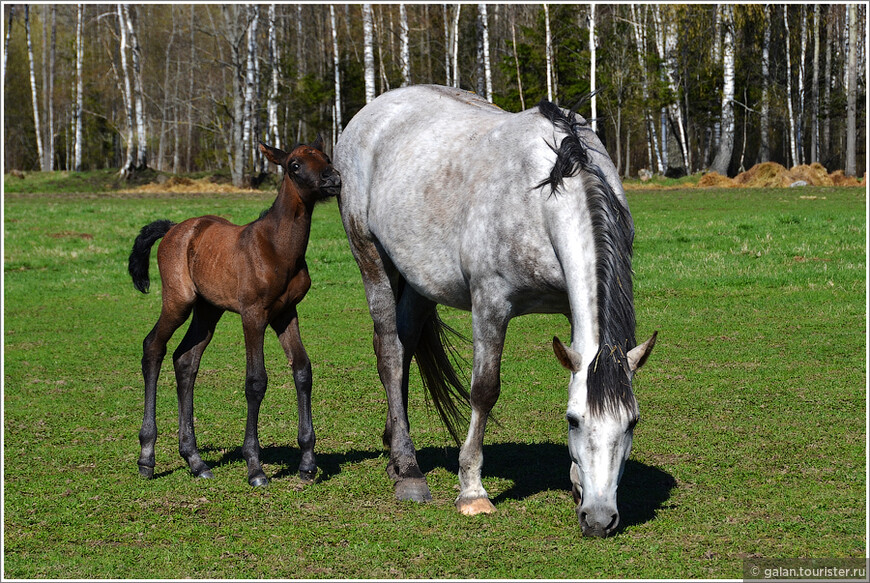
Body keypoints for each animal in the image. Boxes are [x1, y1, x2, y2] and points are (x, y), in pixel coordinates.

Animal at [338, 84, 656, 536]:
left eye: (632, 422)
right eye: (573, 420)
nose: (599, 519)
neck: (542, 195)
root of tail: (373, 111)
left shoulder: (569, 310)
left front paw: (576, 484)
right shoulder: (490, 305)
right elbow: (484, 391)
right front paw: (472, 491)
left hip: (419, 282)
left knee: (403, 347)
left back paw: (396, 455)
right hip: (371, 260)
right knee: (389, 356)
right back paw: (409, 473)